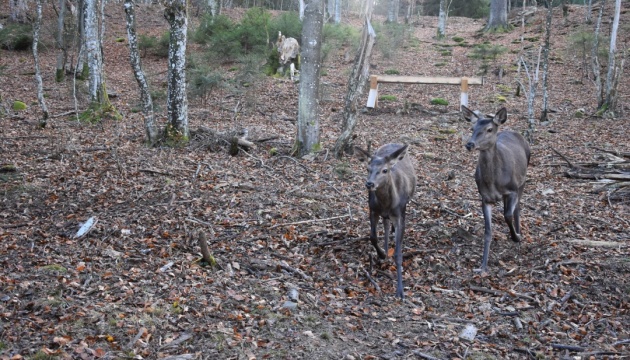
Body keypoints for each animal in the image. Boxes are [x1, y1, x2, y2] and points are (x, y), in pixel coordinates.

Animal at [358, 143, 418, 298]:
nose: (370, 184)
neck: (387, 204)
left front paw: (400, 291)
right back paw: (385, 250)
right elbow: (372, 237)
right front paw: (382, 254)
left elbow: (398, 254)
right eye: (367, 168)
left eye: (385, 170)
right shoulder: (373, 210)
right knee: (385, 225)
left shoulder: (400, 214)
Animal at [464, 105, 532, 274]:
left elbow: (507, 214)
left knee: (517, 208)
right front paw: (483, 266)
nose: (470, 144)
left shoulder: (512, 189)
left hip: (522, 180)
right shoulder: (485, 198)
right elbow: (488, 231)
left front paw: (516, 236)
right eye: (472, 128)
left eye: (489, 129)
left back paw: (518, 233)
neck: (494, 182)